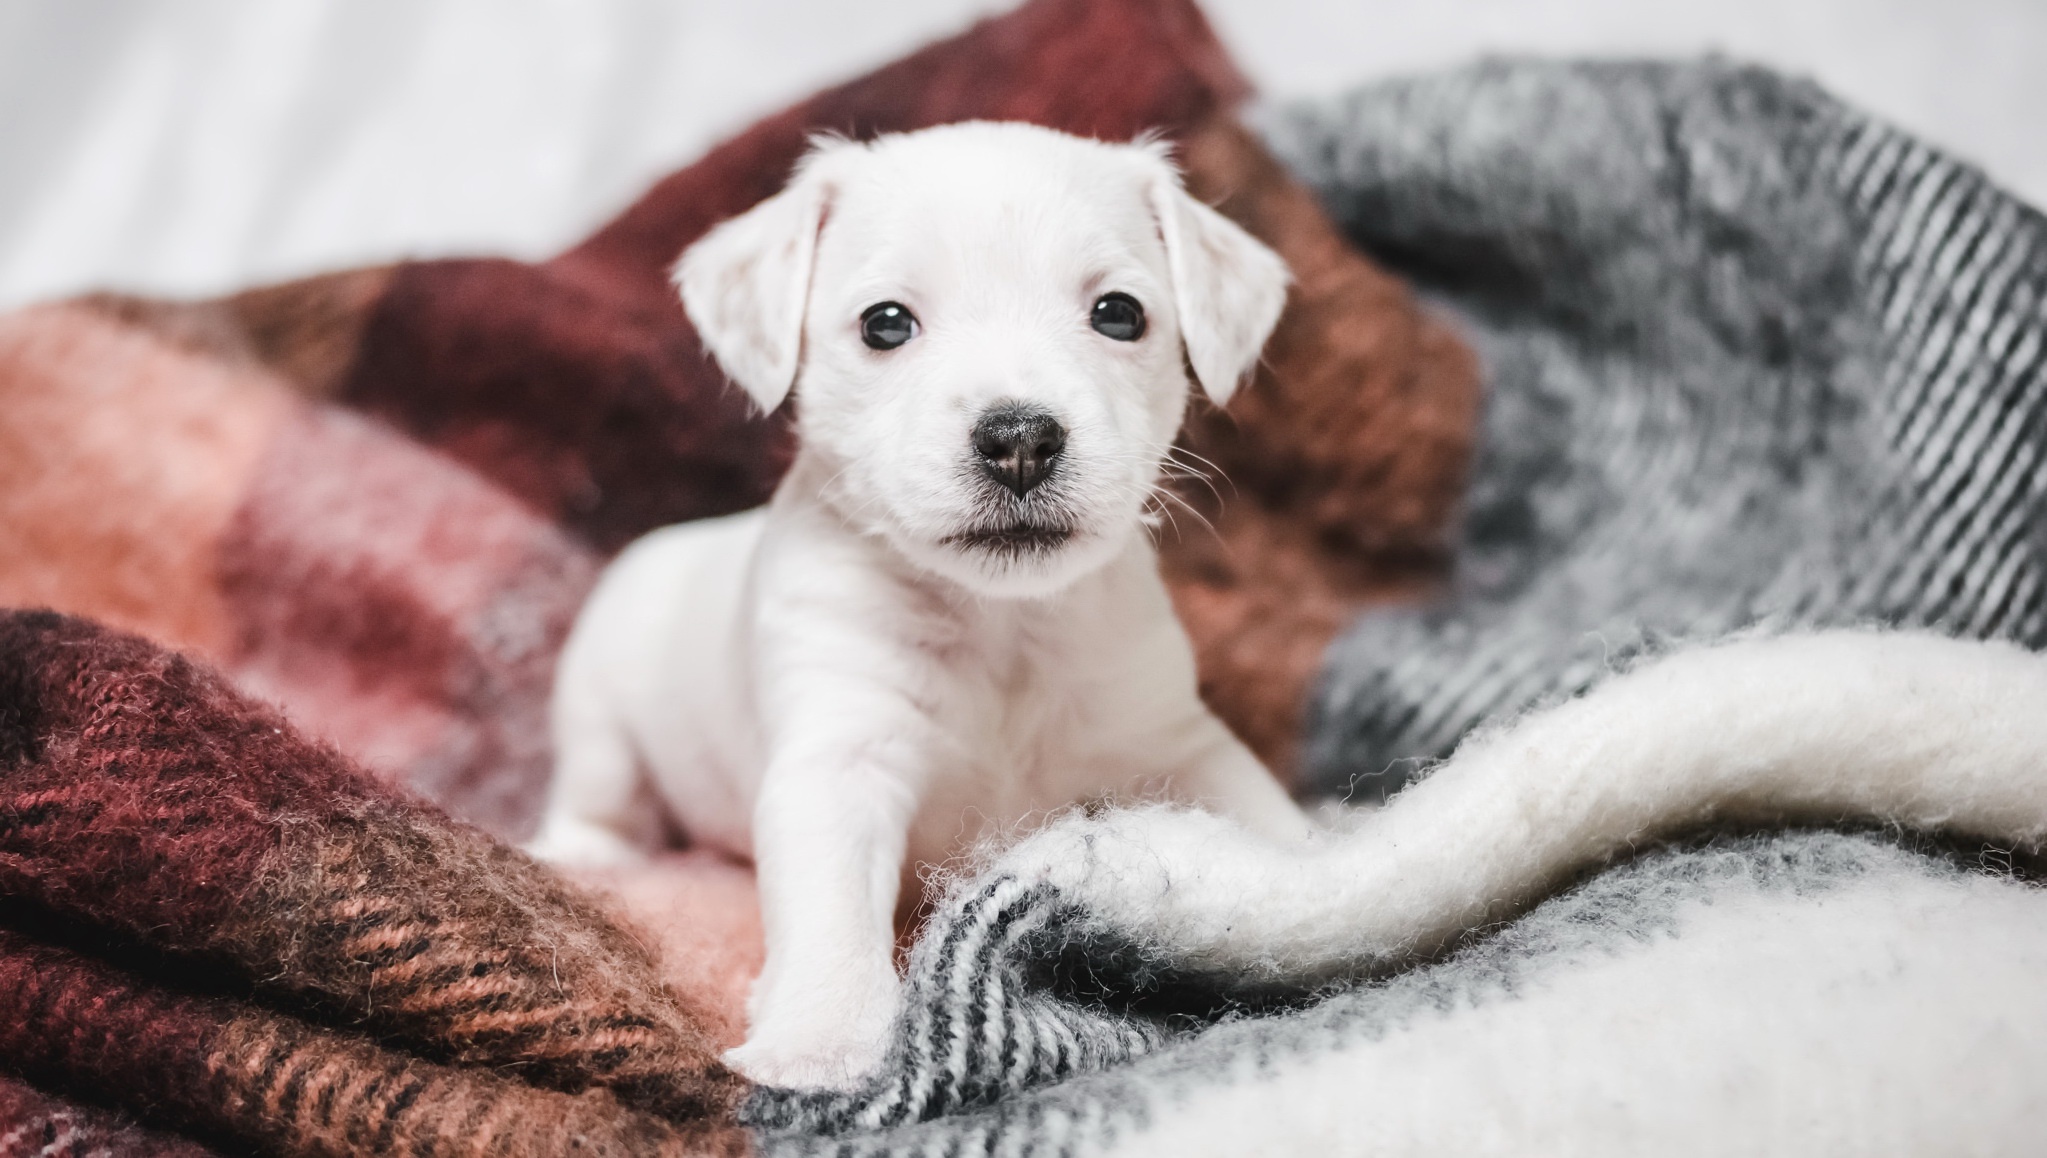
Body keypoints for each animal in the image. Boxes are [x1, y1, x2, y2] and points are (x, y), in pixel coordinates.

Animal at [519, 122, 1301, 1096]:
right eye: (885, 323)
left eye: (1119, 313)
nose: (1019, 439)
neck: (1000, 626)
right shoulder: (838, 762)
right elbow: (829, 913)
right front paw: (821, 1042)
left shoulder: (1171, 742)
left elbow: (1262, 812)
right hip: (600, 717)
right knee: (598, 797)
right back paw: (587, 855)